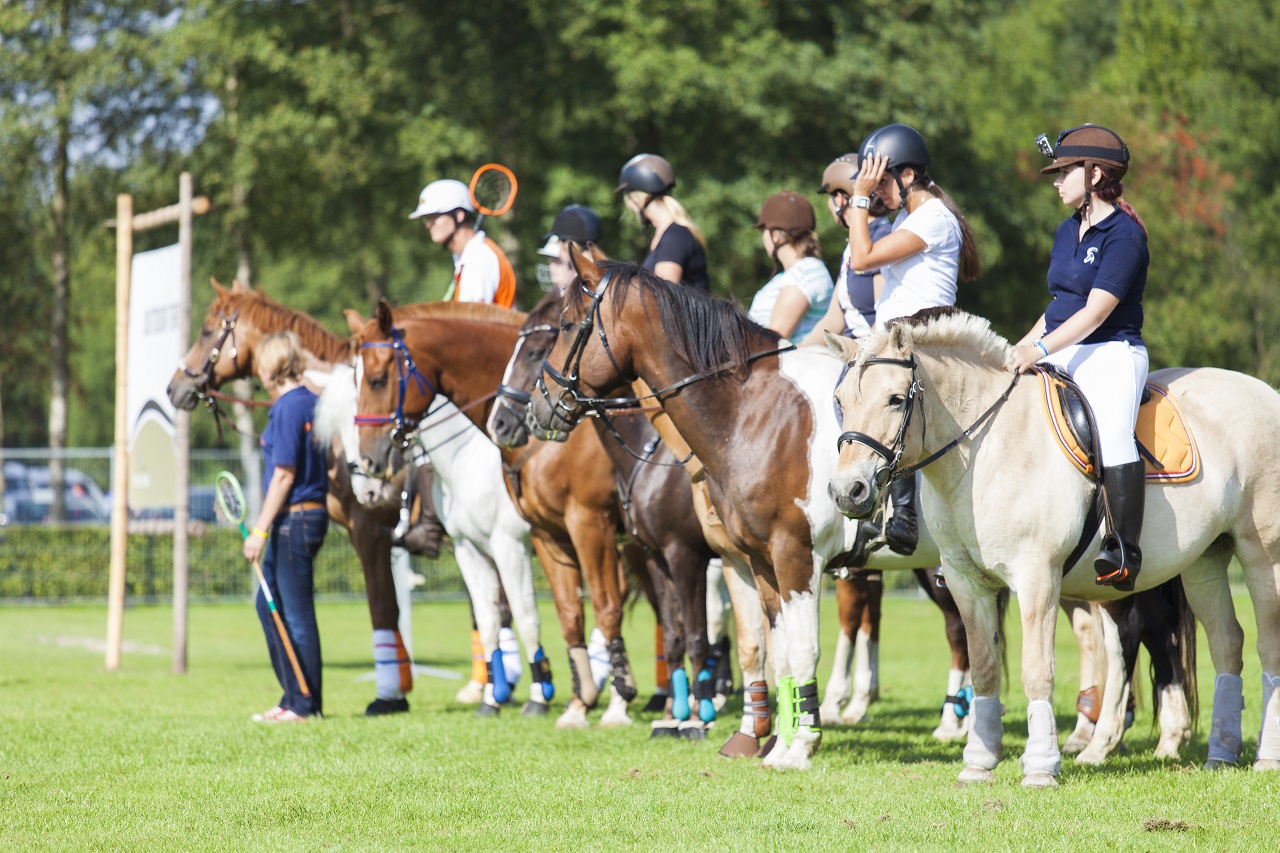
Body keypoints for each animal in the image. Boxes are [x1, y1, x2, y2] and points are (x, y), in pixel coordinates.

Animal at [314, 364, 554, 715]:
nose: (367, 489)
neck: (465, 458)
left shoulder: (508, 545)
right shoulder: (472, 547)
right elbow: (490, 616)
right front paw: (493, 693)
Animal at [348, 300, 644, 728]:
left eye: (376, 378)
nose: (368, 464)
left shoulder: (532, 539)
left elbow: (527, 614)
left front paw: (538, 696)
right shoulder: (476, 546)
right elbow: (493, 619)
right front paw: (492, 697)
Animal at [825, 307, 1280, 786]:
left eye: (896, 399)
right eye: (840, 400)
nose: (846, 492)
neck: (985, 451)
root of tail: (1264, 392)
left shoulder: (1037, 577)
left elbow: (1036, 670)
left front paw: (1041, 765)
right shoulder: (967, 582)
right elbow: (984, 668)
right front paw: (978, 762)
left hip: (1260, 556)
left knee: (1263, 644)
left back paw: (1263, 755)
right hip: (1204, 562)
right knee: (1226, 641)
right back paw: (1220, 753)